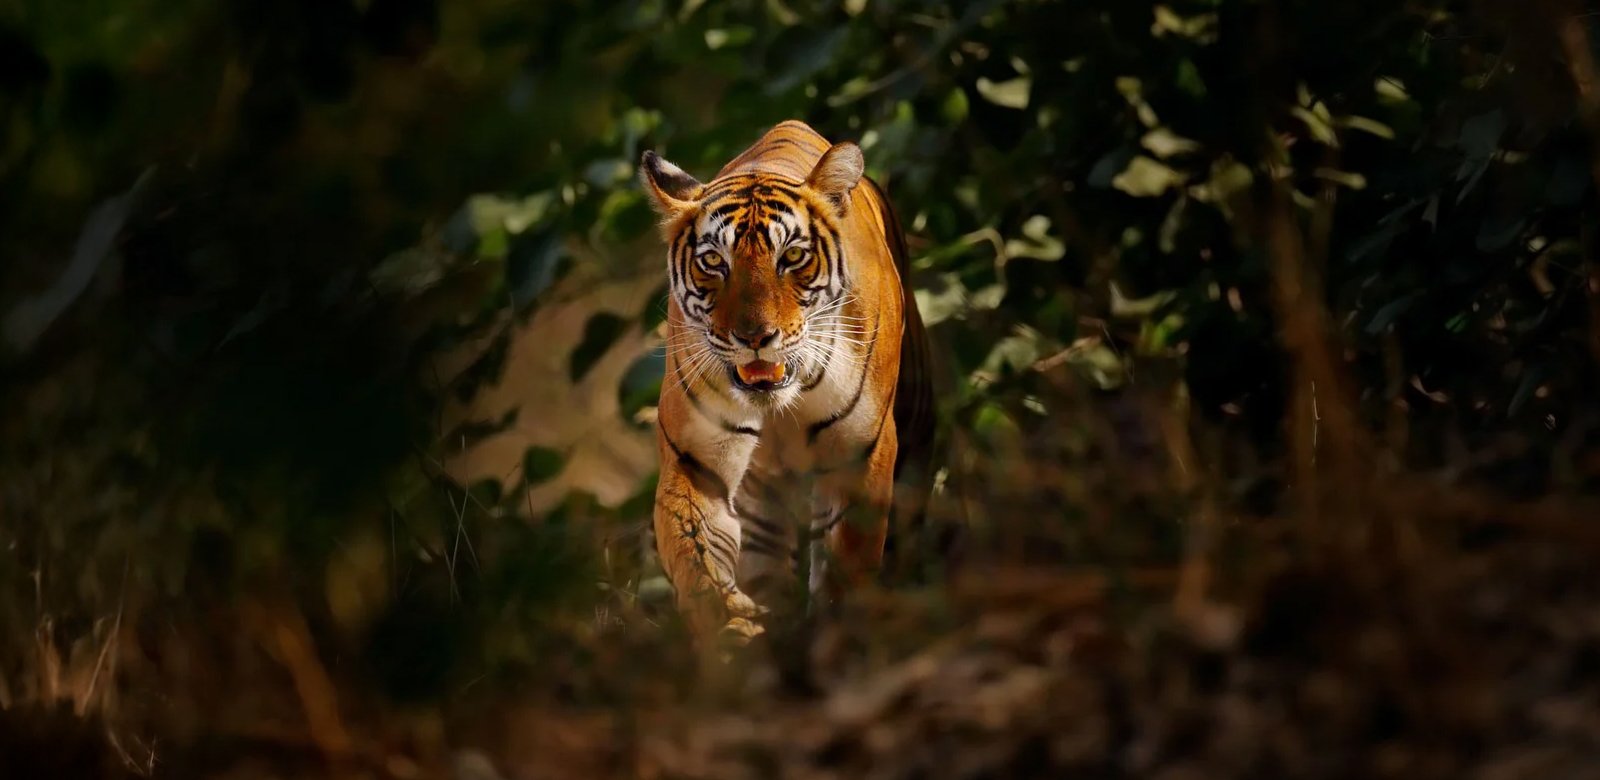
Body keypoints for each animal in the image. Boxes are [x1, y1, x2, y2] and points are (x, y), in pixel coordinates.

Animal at [639, 120, 933, 645]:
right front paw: (729, 623)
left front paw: (839, 629)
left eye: (792, 256)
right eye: (714, 262)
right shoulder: (694, 458)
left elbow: (848, 557)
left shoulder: (860, 450)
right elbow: (694, 549)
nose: (755, 337)